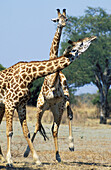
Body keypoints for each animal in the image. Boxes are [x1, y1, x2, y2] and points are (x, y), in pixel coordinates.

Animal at [0, 35, 96, 166]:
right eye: (81, 43)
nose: (93, 37)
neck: (30, 76)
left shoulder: (21, 104)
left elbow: (26, 132)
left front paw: (36, 159)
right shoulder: (10, 103)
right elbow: (9, 131)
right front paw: (10, 160)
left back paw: (2, 158)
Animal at [23, 8, 74, 162]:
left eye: (66, 18)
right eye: (58, 20)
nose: (62, 24)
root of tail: (50, 108)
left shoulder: (62, 97)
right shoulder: (44, 99)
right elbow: (37, 126)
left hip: (57, 109)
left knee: (55, 128)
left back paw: (59, 154)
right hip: (42, 106)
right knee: (37, 126)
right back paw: (27, 152)